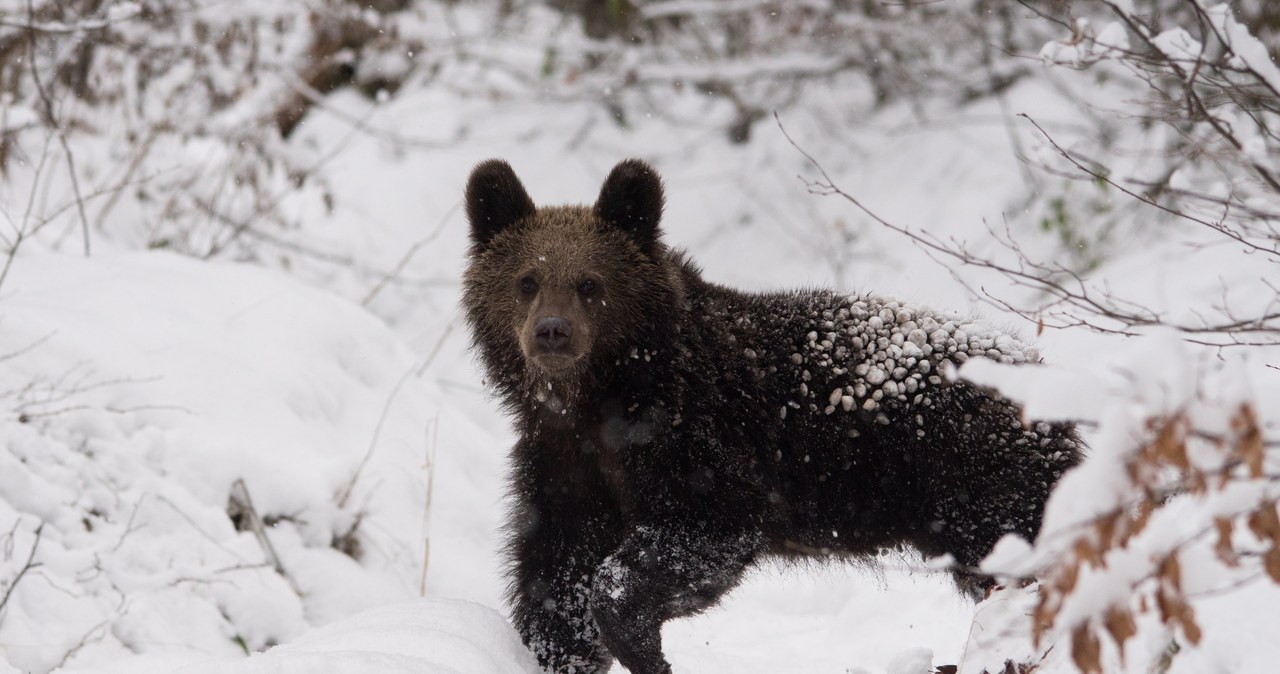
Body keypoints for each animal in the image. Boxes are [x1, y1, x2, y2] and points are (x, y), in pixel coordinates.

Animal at [460, 159, 1080, 674]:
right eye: (526, 281)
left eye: (590, 283)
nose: (552, 332)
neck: (601, 403)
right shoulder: (567, 469)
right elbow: (556, 577)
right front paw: (561, 650)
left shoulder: (697, 441)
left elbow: (697, 536)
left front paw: (640, 644)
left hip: (985, 488)